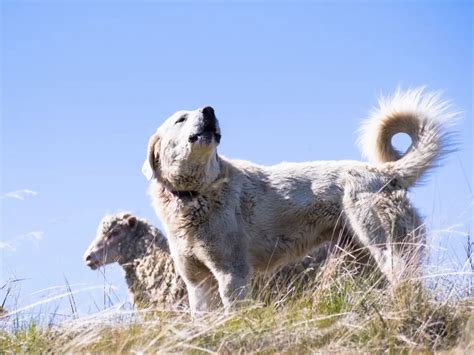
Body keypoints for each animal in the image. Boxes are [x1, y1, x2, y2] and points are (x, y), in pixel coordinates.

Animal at [143, 89, 458, 314]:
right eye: (181, 119)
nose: (209, 110)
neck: (196, 194)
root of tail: (386, 172)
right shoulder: (197, 283)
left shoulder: (233, 275)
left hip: (388, 249)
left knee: (408, 284)